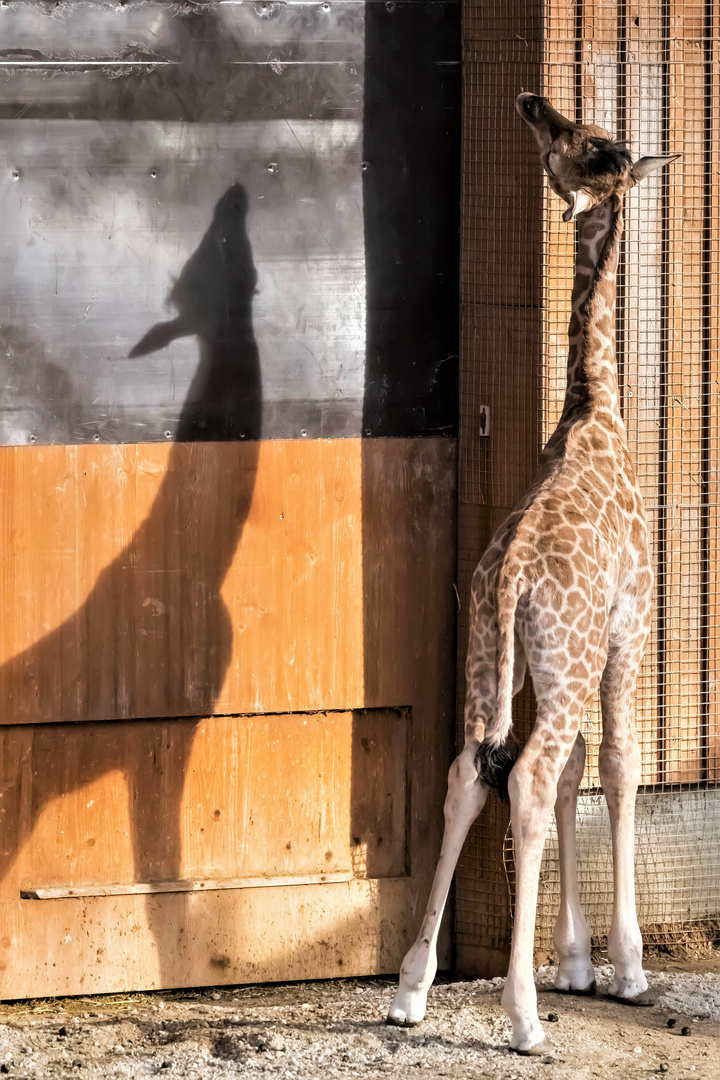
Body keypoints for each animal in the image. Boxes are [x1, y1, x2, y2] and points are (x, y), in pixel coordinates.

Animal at [386, 95, 677, 1054]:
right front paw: (624, 968)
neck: (596, 410)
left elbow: (578, 764)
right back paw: (519, 1014)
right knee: (528, 776)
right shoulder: (628, 631)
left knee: (468, 772)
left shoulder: (554, 665)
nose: (531, 102)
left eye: (579, 136)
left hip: (494, 659)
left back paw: (411, 989)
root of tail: (511, 577)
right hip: (568, 657)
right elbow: (617, 763)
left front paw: (577, 960)